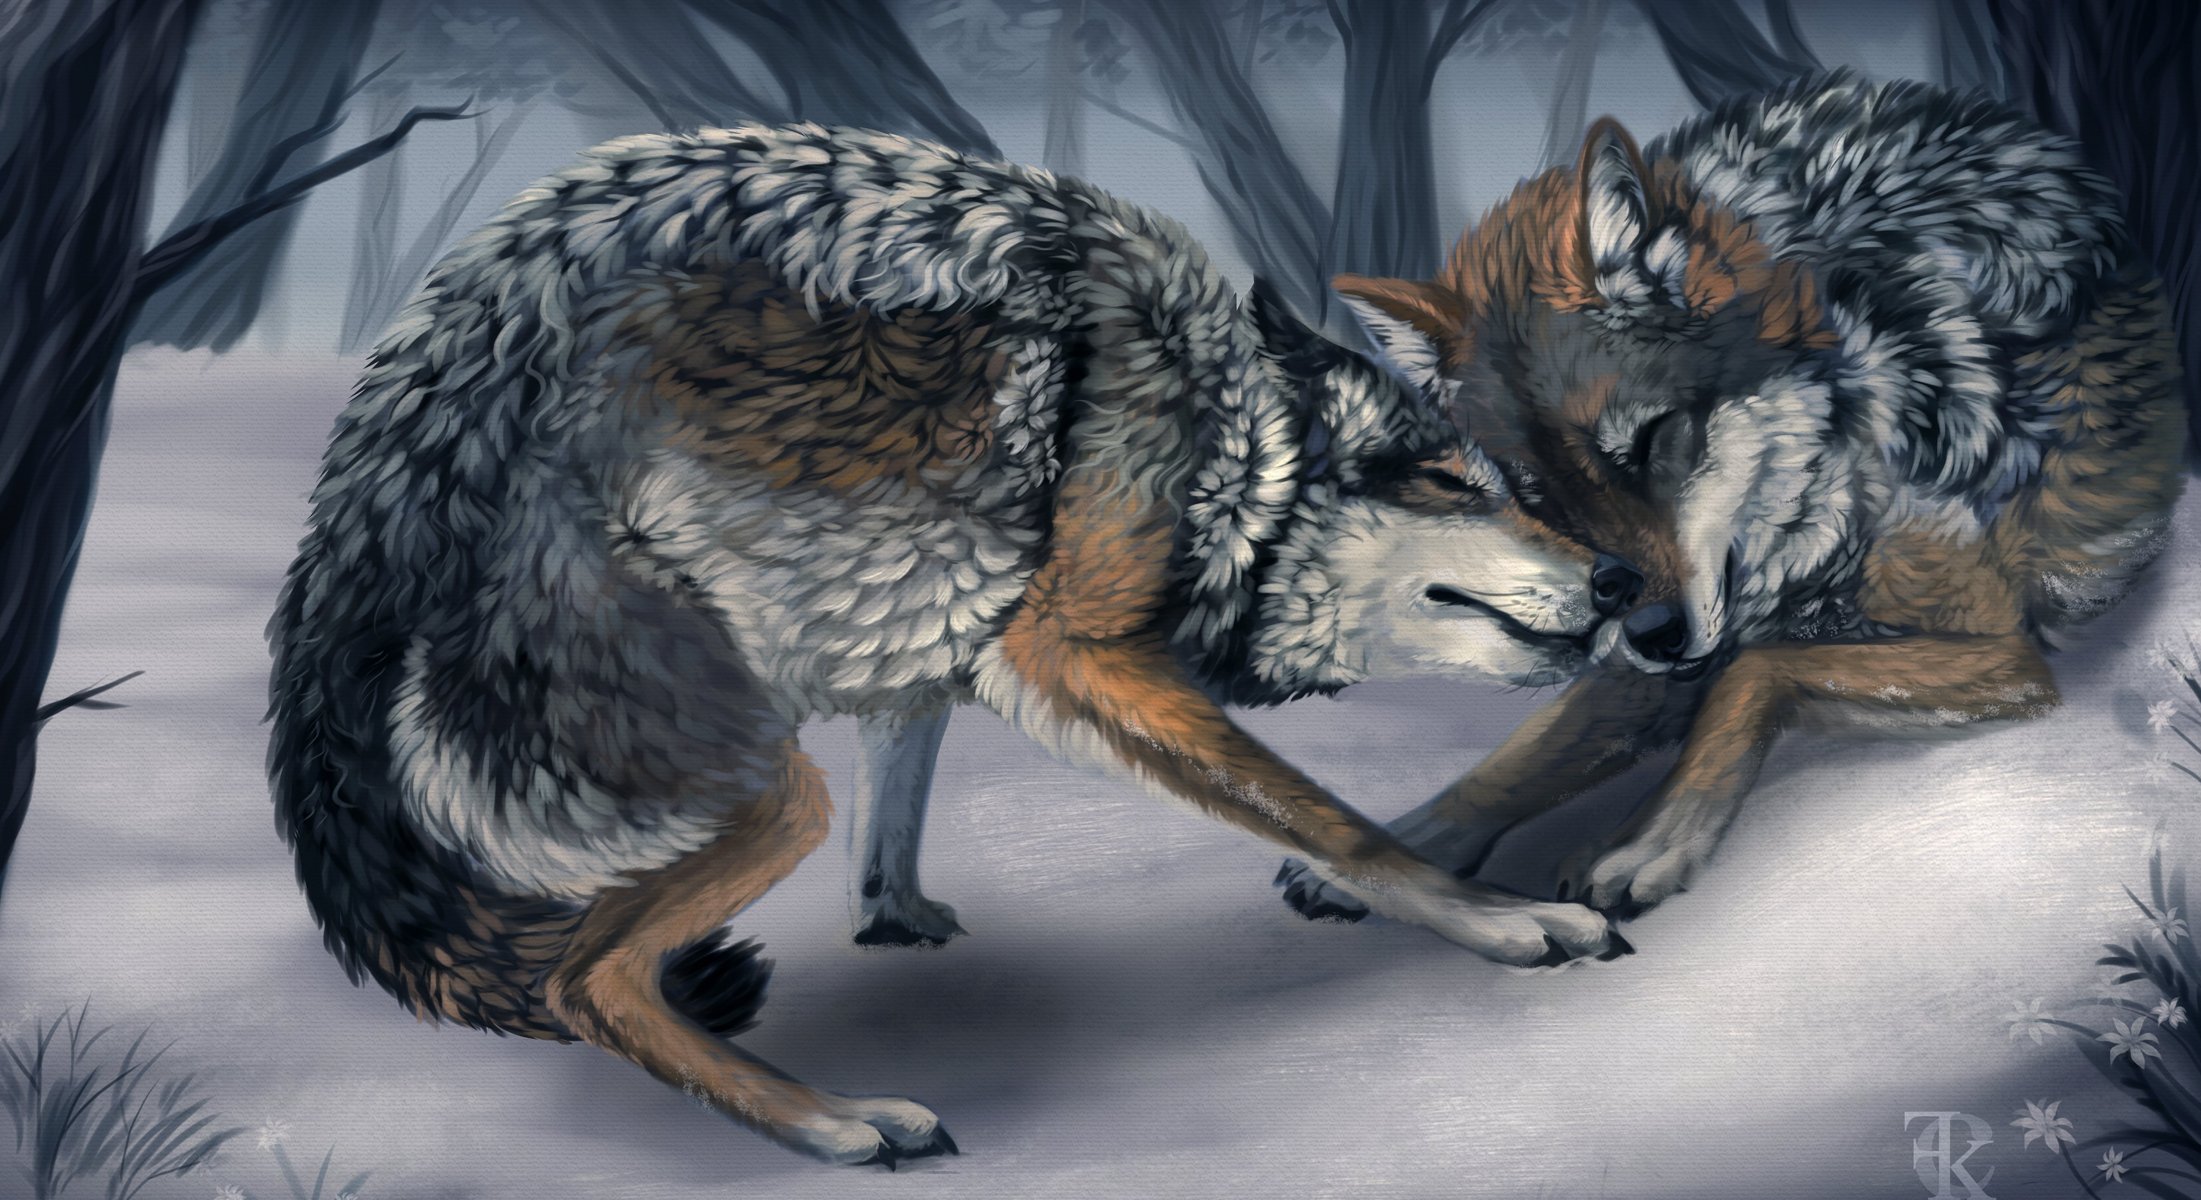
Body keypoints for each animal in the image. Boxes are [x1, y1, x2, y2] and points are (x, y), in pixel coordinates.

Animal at [267, 122, 1637, 1166]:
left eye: (1514, 486)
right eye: (1456, 484)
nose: (1623, 578)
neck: (1233, 443)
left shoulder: (938, 622)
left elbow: (898, 797)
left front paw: (896, 915)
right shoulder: (1070, 651)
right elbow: (1332, 823)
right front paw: (1500, 921)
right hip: (766, 788)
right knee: (581, 980)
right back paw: (833, 1125)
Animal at [1280, 73, 2186, 922]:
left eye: (1649, 441)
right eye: (1536, 496)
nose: (1650, 631)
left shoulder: (2002, 651)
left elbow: (1753, 672)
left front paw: (1649, 839)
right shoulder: (1661, 640)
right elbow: (1522, 755)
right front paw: (1380, 856)